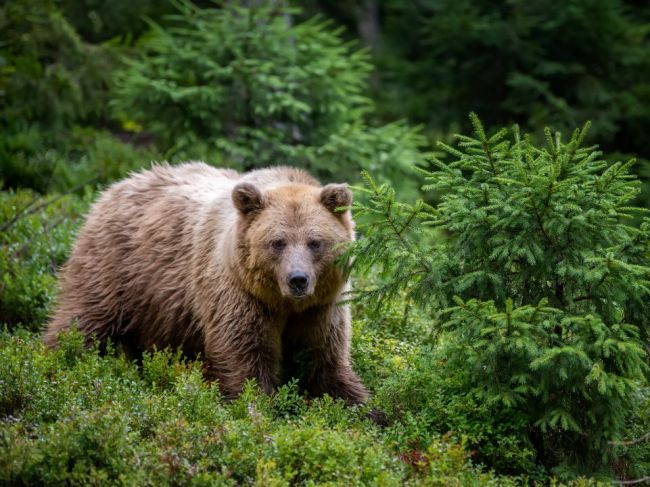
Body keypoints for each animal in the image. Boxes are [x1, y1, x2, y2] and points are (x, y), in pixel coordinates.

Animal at [43, 163, 368, 404]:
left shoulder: (322, 307)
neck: (283, 304)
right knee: (82, 319)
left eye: (315, 242)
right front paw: (256, 405)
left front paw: (360, 404)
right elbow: (244, 354)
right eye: (277, 242)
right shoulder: (238, 294)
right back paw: (56, 361)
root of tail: (115, 186)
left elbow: (324, 358)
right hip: (116, 268)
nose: (298, 279)